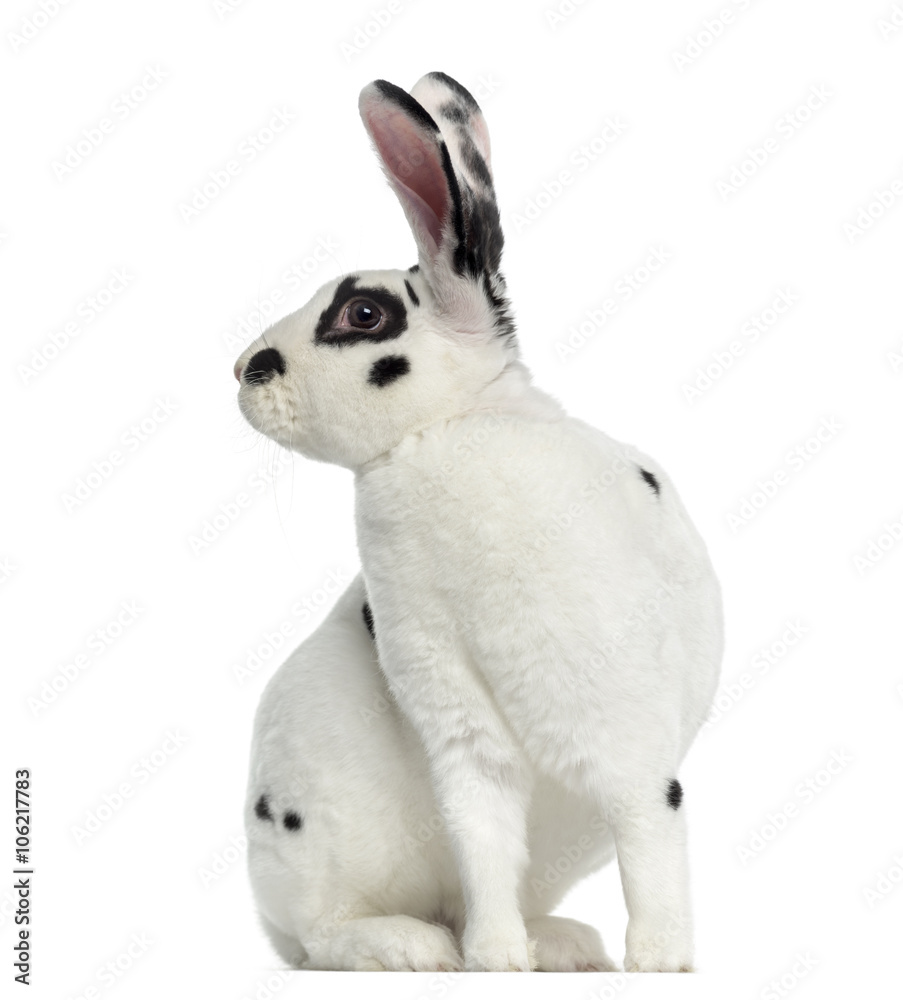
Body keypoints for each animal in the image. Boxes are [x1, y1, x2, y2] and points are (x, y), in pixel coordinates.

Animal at [234, 71, 723, 973]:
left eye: (362, 315)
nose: (244, 371)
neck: (445, 431)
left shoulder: (616, 711)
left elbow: (645, 819)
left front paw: (661, 961)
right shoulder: (454, 714)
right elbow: (483, 827)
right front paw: (494, 960)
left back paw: (563, 944)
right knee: (322, 933)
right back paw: (416, 947)